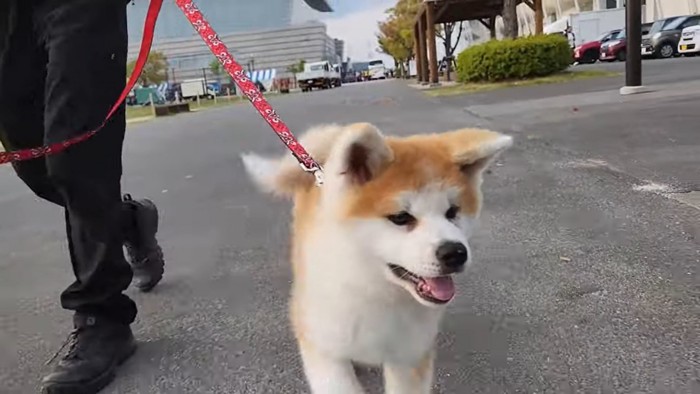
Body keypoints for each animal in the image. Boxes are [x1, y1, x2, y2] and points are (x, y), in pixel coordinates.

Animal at [243, 124, 512, 394]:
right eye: (401, 217)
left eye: (452, 212)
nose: (455, 253)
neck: (374, 289)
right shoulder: (324, 347)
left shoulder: (409, 356)